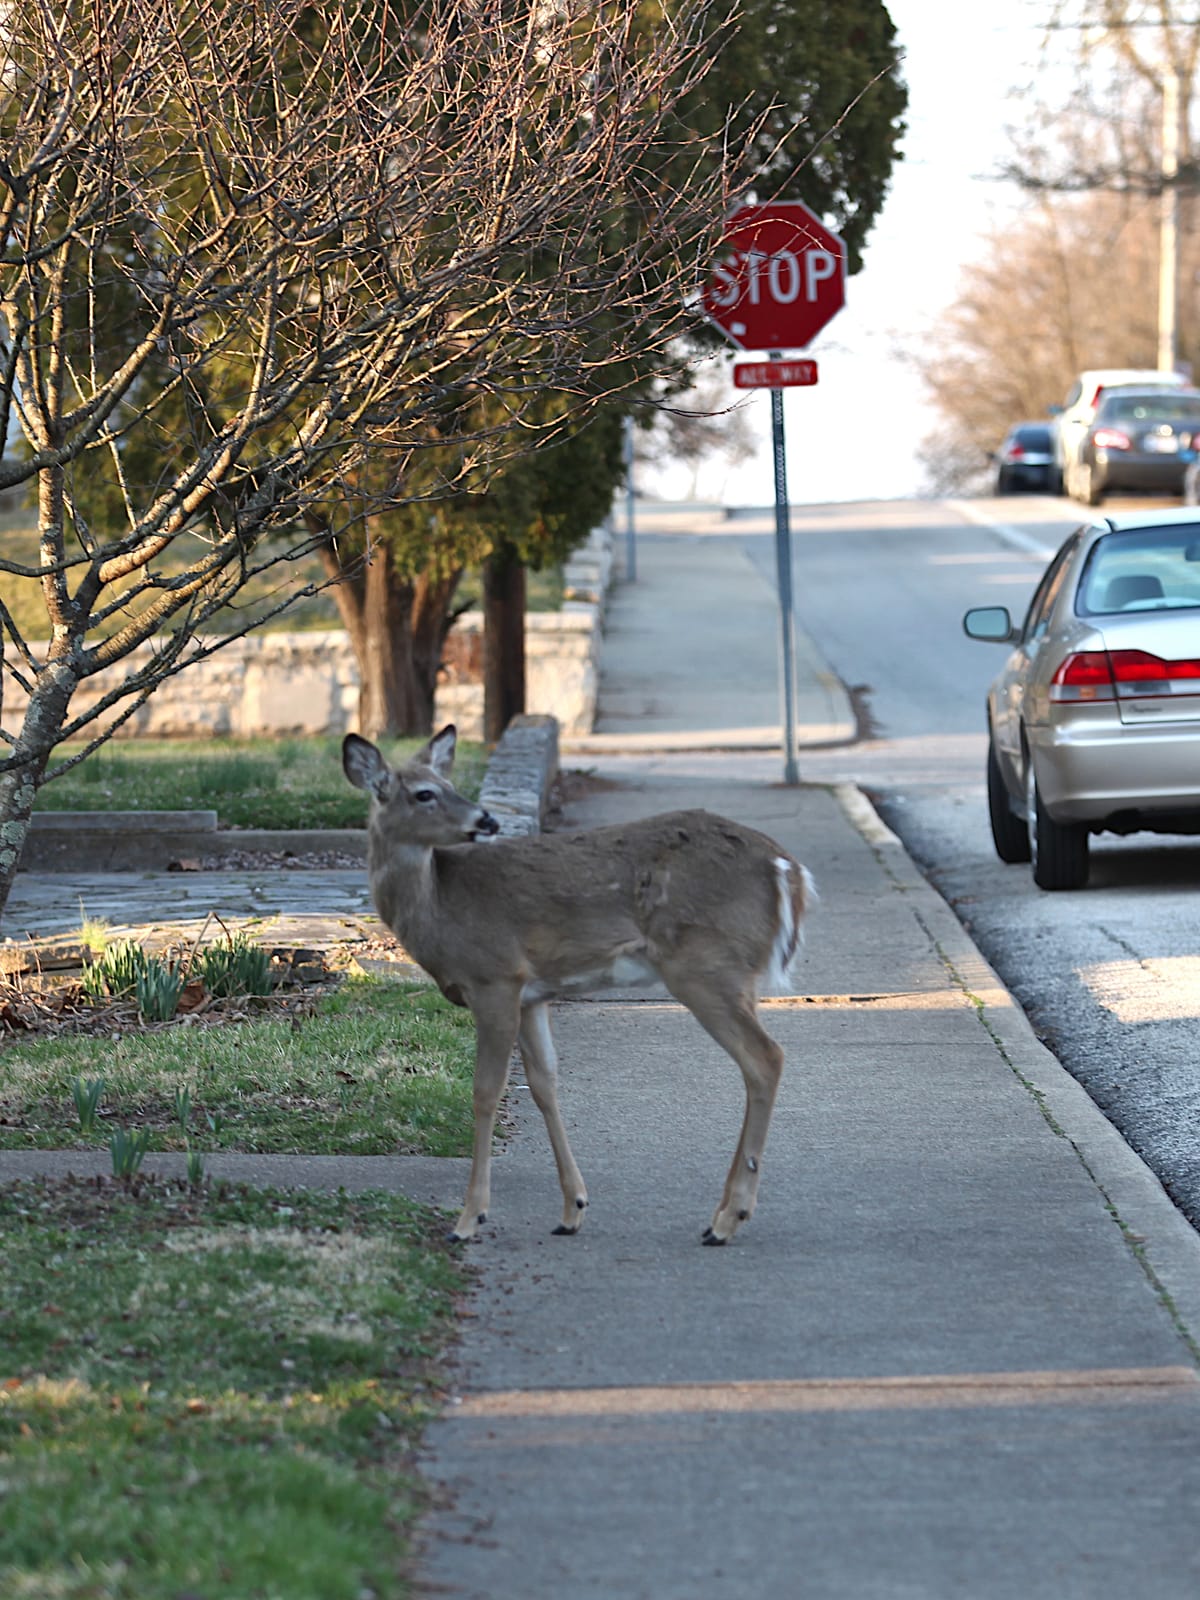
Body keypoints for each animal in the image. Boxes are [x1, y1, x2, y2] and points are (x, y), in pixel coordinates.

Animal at [342, 729, 812, 1248]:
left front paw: (468, 1219)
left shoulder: (494, 978)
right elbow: (544, 1084)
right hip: (727, 973)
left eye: (446, 783)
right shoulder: (531, 994)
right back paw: (722, 1214)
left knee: (765, 1058)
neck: (438, 907)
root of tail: (788, 870)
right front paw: (572, 1209)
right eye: (424, 793)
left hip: (706, 967)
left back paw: (728, 1219)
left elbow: (485, 1090)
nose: (487, 819)